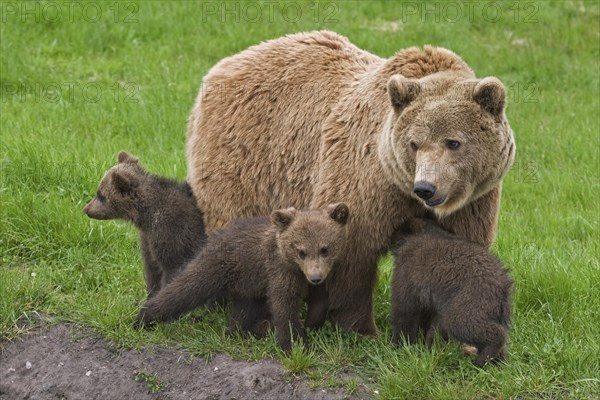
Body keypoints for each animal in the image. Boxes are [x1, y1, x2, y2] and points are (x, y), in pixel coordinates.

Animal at [185, 30, 512, 334]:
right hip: (246, 157)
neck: (401, 185)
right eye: (414, 144)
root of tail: (226, 63)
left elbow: (455, 252)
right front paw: (362, 328)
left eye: (453, 142)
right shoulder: (365, 179)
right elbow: (353, 253)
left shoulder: (472, 202)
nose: (426, 188)